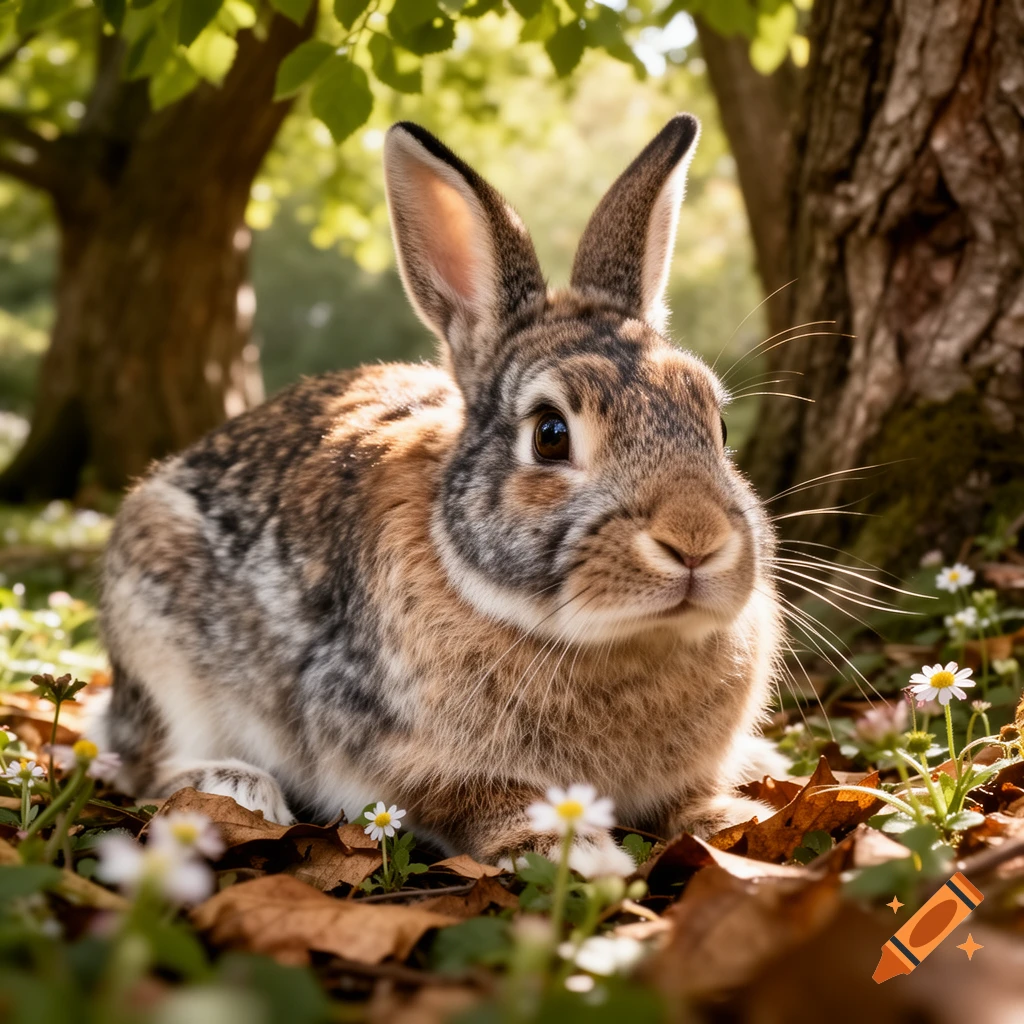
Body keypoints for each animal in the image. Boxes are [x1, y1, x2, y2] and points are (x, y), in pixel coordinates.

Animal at [98, 114, 785, 878]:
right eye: (550, 434)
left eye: (715, 424)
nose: (696, 540)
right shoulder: (396, 758)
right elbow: (483, 799)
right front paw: (576, 852)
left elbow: (691, 800)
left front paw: (736, 818)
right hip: (158, 640)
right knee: (145, 763)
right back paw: (237, 786)